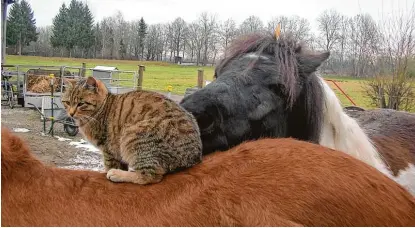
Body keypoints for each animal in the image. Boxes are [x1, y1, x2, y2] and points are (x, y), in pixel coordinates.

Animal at [61, 77, 203, 185]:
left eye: (81, 104)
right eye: (67, 102)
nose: (71, 113)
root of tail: (194, 157)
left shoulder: (108, 149)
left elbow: (109, 165)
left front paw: (110, 171)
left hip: (133, 135)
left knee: (150, 176)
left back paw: (118, 174)